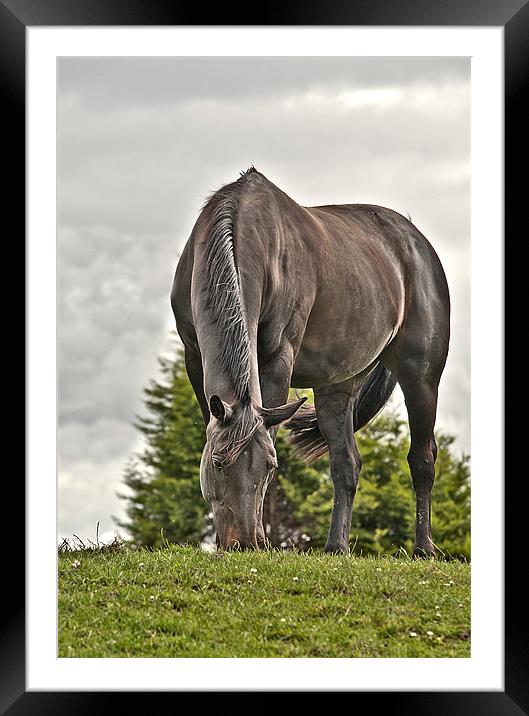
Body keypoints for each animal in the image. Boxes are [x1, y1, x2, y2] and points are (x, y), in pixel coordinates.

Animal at [170, 166, 450, 552]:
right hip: (337, 384)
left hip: (421, 377)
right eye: (217, 462)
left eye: (269, 468)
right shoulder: (194, 358)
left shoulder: (277, 360)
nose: (243, 543)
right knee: (347, 463)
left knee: (422, 458)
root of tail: (417, 241)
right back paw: (336, 546)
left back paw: (423, 547)